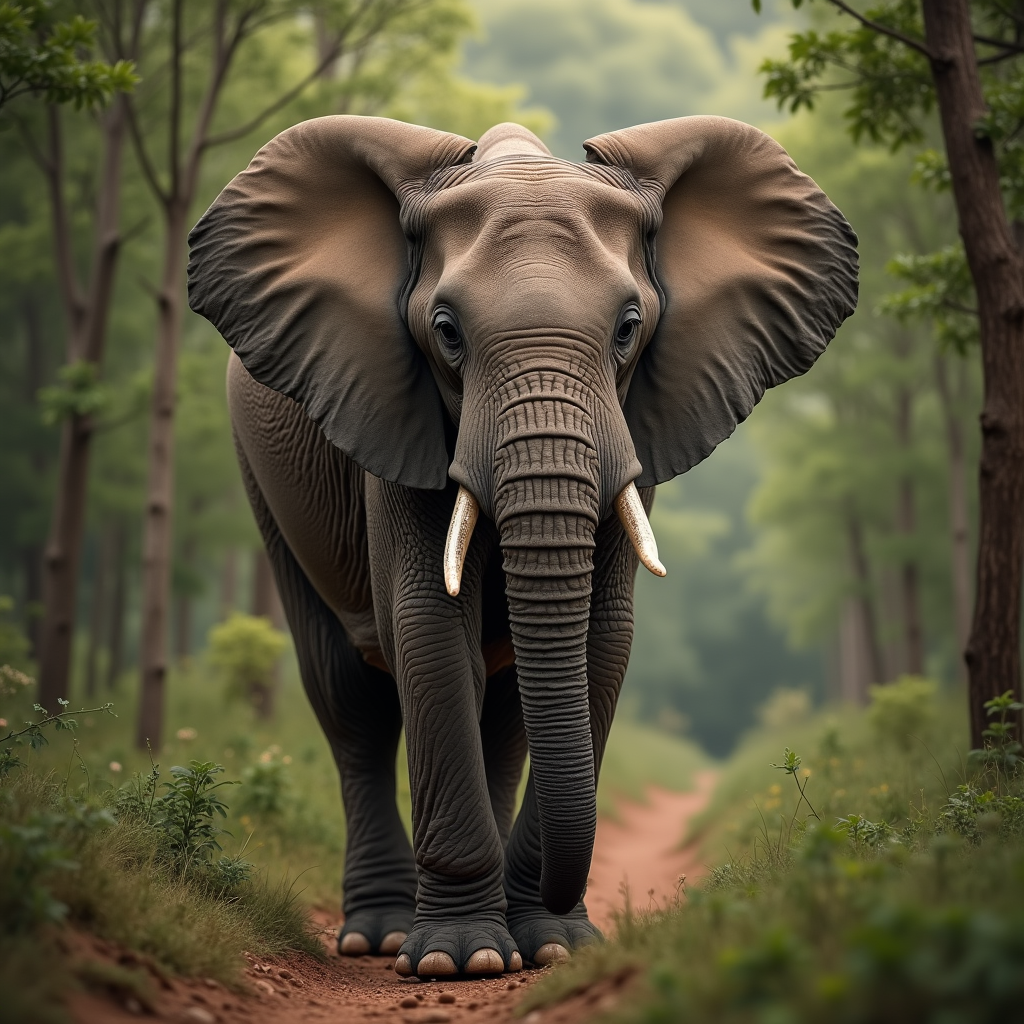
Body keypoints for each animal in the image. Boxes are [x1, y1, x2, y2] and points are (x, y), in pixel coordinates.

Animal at [187, 115, 857, 979]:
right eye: (445, 333)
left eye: (629, 328)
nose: (567, 905)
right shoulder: (393, 412)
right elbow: (429, 633)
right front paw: (460, 958)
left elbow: (603, 641)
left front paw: (554, 945)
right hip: (261, 472)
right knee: (350, 696)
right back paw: (381, 935)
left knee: (504, 713)